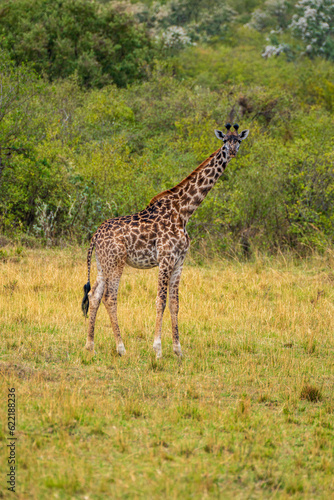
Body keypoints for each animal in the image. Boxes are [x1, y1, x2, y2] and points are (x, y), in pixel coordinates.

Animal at [81, 125, 248, 360]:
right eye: (224, 141)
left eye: (238, 141)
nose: (232, 152)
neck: (184, 212)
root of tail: (95, 235)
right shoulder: (165, 259)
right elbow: (160, 301)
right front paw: (157, 349)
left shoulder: (179, 262)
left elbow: (175, 303)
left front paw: (178, 349)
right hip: (116, 263)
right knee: (110, 298)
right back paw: (121, 348)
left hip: (101, 264)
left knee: (94, 295)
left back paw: (90, 345)